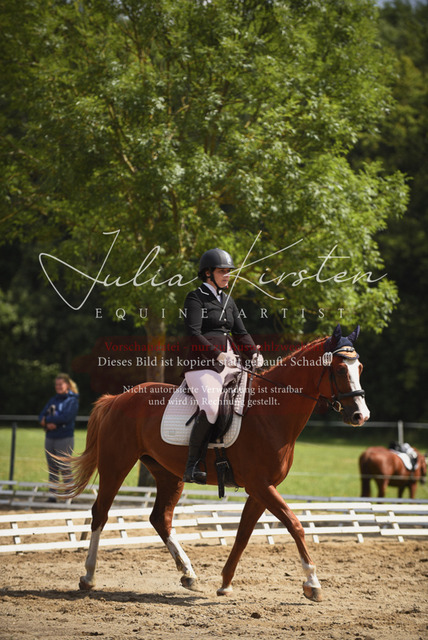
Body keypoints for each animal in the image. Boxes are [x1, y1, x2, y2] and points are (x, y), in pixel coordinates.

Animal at [57, 324, 369, 603]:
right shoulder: (260, 485)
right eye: (340, 370)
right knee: (100, 513)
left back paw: (188, 574)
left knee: (160, 518)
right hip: (116, 465)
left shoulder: (261, 488)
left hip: (169, 474)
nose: (361, 416)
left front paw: (225, 583)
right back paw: (88, 577)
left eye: (360, 368)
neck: (271, 412)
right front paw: (312, 583)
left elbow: (243, 534)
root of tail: (117, 398)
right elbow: (294, 524)